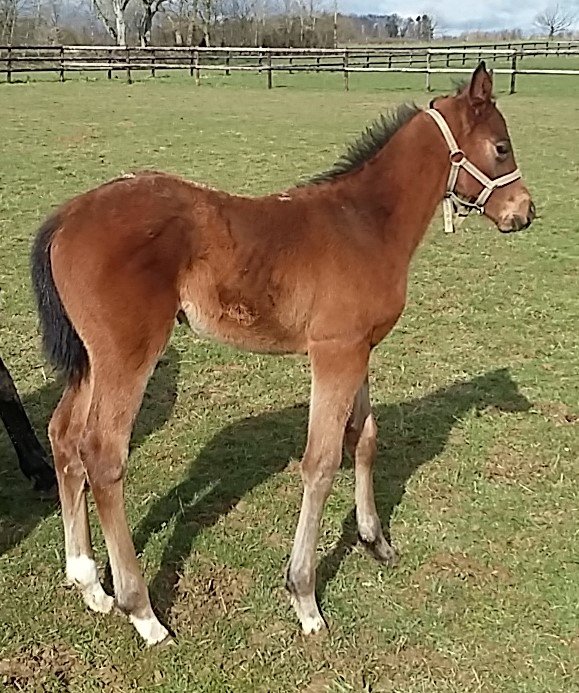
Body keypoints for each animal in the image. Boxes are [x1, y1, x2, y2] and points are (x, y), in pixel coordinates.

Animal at [31, 62, 534, 645]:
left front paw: (374, 539)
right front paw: (304, 598)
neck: (366, 223)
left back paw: (88, 581)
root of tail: (66, 216)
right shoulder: (334, 353)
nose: (525, 212)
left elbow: (364, 438)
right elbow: (321, 461)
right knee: (103, 454)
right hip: (127, 355)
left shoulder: (358, 348)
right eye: (501, 147)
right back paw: (143, 612)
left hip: (90, 361)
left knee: (64, 437)